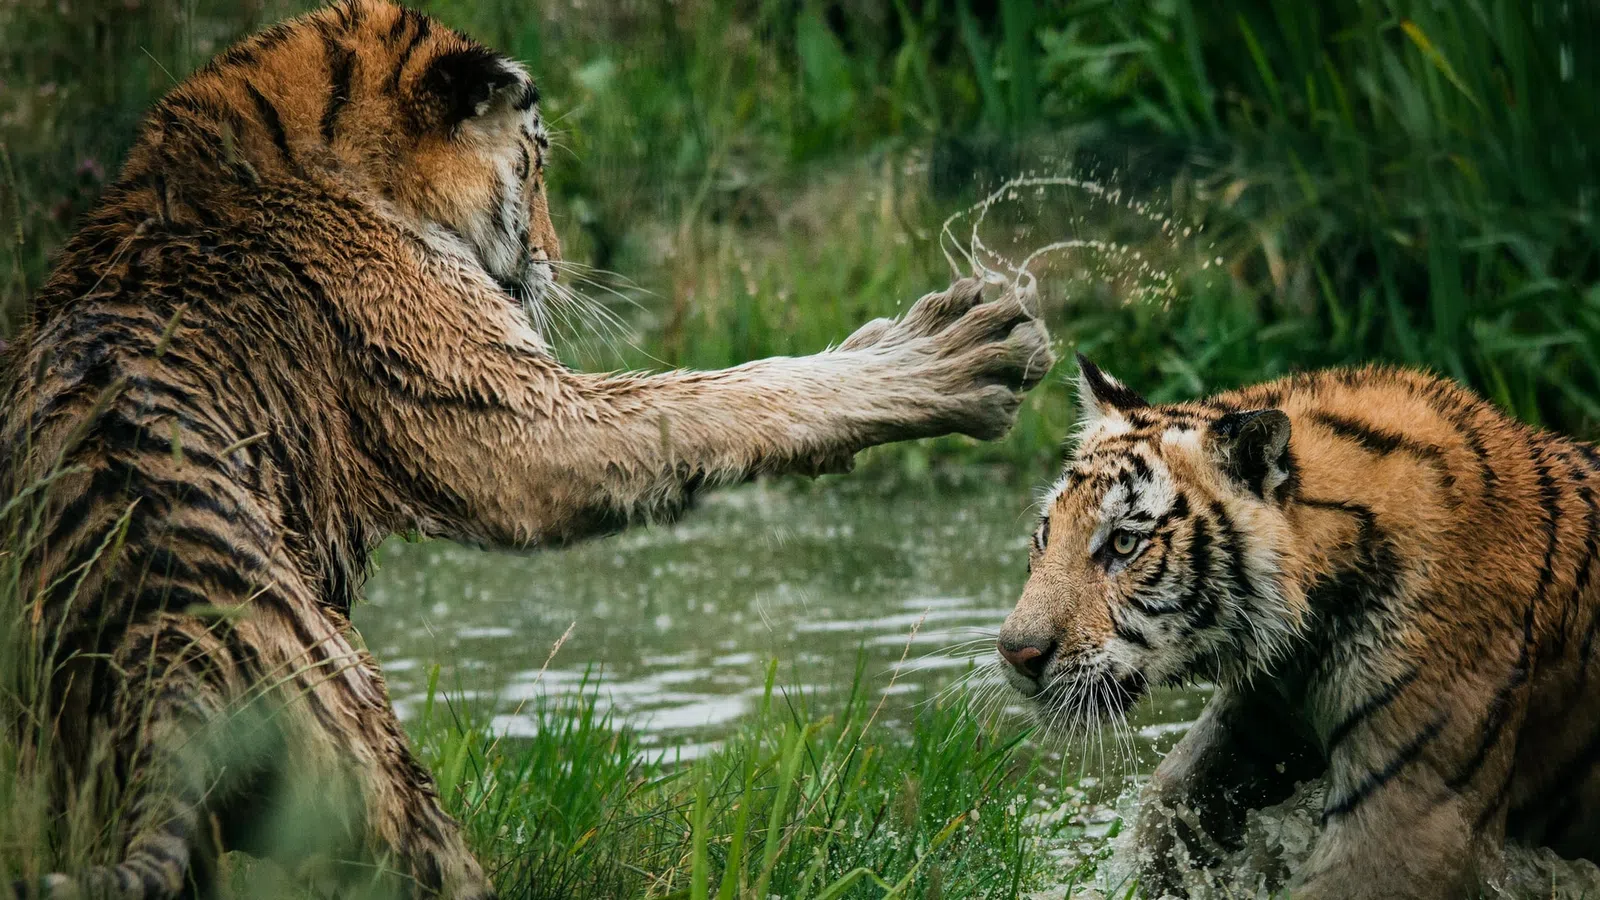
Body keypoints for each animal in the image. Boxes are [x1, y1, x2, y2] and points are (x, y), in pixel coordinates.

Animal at [0, 1, 1055, 897]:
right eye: (539, 164)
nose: (554, 260)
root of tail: (166, 663)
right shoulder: (518, 418)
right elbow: (723, 397)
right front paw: (955, 353)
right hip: (385, 786)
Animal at [996, 355, 1600, 899]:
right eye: (1046, 534)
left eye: (1124, 543)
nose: (1015, 653)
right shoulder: (1260, 718)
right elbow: (1167, 807)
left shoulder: (1412, 825)